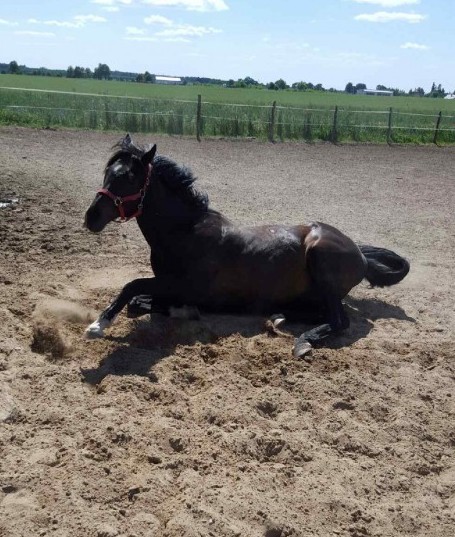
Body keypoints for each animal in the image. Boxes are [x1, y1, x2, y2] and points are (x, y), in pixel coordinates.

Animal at [83, 133, 412, 356]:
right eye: (107, 172)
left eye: (128, 177)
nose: (91, 217)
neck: (185, 233)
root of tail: (360, 254)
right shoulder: (169, 286)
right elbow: (139, 300)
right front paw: (180, 310)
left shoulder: (182, 285)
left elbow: (132, 287)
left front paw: (98, 325)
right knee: (319, 313)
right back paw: (279, 316)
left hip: (322, 261)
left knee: (340, 320)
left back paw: (303, 341)